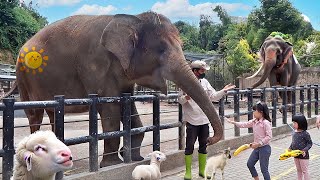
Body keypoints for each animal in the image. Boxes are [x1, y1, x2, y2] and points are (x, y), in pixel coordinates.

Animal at [11, 11, 224, 167]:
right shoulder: (95, 64)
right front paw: (111, 163)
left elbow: (128, 105)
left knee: (53, 113)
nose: (210, 140)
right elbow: (110, 108)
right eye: (161, 49)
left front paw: (134, 158)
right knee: (35, 114)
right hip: (24, 78)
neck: (133, 20)